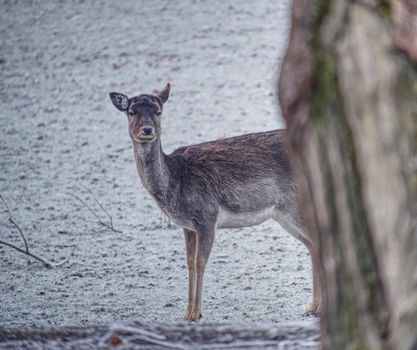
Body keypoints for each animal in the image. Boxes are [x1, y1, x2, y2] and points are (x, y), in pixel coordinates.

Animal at [109, 84, 320, 320]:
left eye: (158, 111)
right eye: (131, 112)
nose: (146, 130)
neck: (176, 183)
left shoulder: (207, 216)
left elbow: (200, 262)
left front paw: (196, 313)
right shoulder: (188, 226)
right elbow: (189, 263)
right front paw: (187, 312)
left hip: (295, 203)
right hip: (283, 214)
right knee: (313, 244)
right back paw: (312, 307)